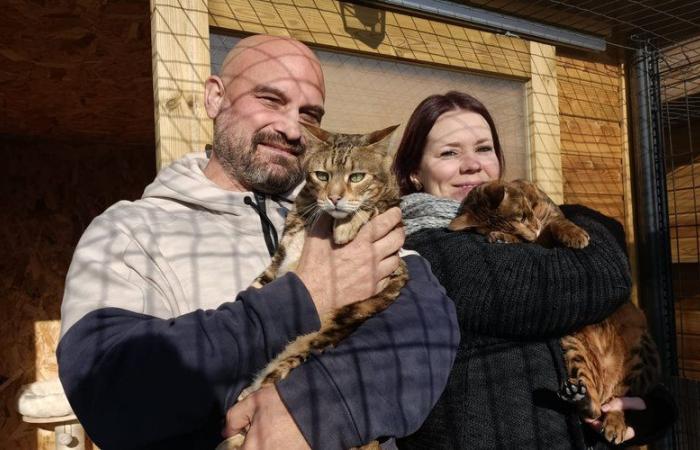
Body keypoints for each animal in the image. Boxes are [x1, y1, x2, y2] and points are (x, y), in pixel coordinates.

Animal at [219, 123, 408, 450]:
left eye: (356, 177)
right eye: (322, 175)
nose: (334, 199)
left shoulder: (398, 267)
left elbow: (375, 208)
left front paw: (347, 225)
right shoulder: (279, 259)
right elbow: (259, 286)